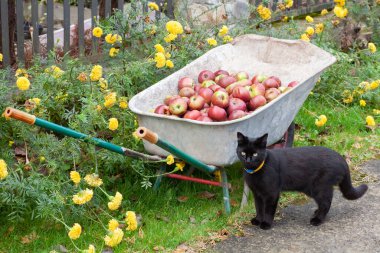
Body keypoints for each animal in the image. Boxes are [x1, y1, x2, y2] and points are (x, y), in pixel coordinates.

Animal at [238, 132, 368, 229]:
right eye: (243, 152)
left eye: (255, 154)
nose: (248, 159)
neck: (255, 171)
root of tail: (341, 158)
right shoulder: (257, 193)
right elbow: (259, 207)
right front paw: (258, 220)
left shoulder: (272, 193)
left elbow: (269, 209)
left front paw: (266, 223)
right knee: (324, 202)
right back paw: (317, 213)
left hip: (319, 186)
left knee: (326, 202)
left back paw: (317, 220)